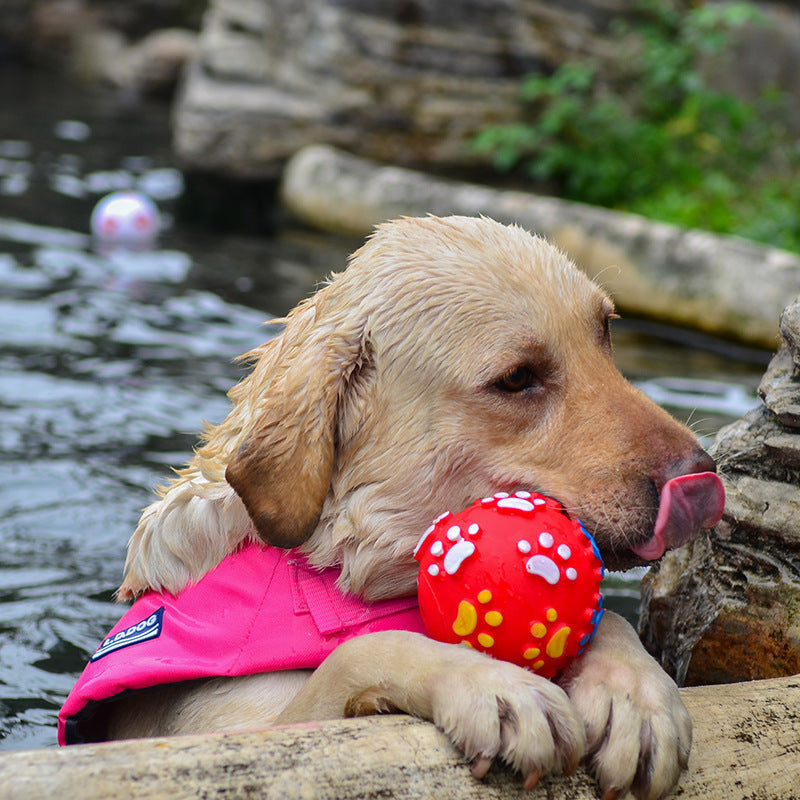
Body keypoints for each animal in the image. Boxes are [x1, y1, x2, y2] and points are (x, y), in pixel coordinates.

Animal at [103, 216, 720, 800]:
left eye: (605, 330)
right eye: (517, 377)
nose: (701, 476)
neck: (340, 560)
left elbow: (607, 617)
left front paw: (633, 694)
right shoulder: (230, 737)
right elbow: (363, 650)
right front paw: (493, 686)